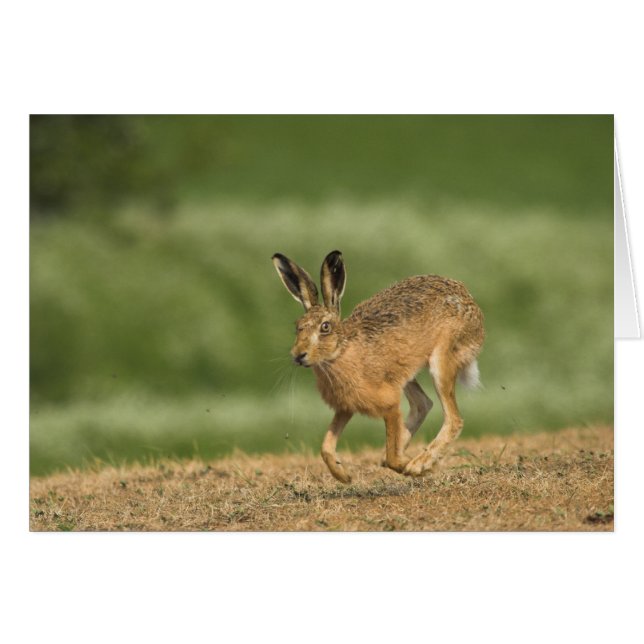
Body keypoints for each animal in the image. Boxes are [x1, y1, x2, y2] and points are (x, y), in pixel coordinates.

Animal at [272, 250, 484, 483]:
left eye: (325, 327)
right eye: (297, 327)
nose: (298, 355)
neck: (342, 351)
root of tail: (471, 303)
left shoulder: (389, 404)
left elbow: (392, 455)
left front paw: (409, 466)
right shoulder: (345, 408)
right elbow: (325, 447)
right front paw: (343, 476)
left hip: (441, 359)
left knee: (453, 418)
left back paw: (419, 463)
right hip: (405, 373)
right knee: (423, 404)